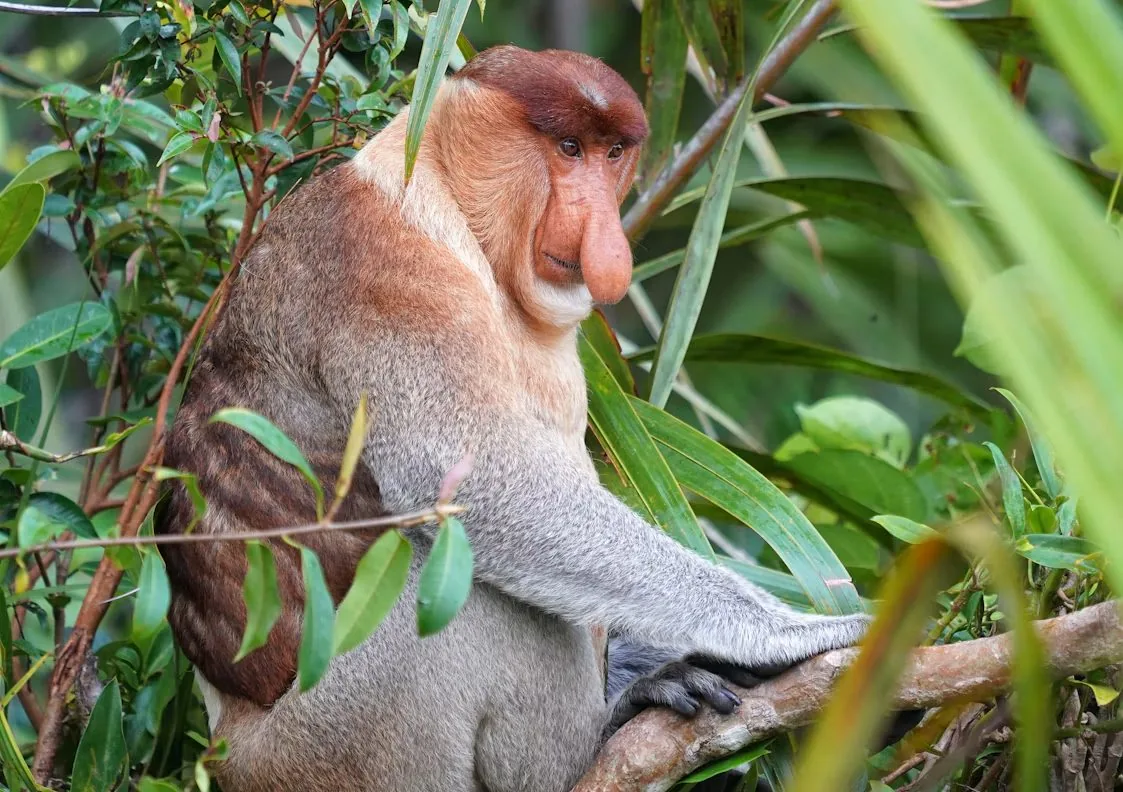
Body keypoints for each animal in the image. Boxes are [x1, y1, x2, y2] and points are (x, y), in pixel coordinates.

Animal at [154, 45, 876, 792]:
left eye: (612, 153)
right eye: (567, 148)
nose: (601, 233)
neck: (445, 201)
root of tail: (226, 744)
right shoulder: (383, 270)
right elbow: (465, 476)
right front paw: (782, 637)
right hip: (332, 747)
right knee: (468, 585)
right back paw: (598, 734)